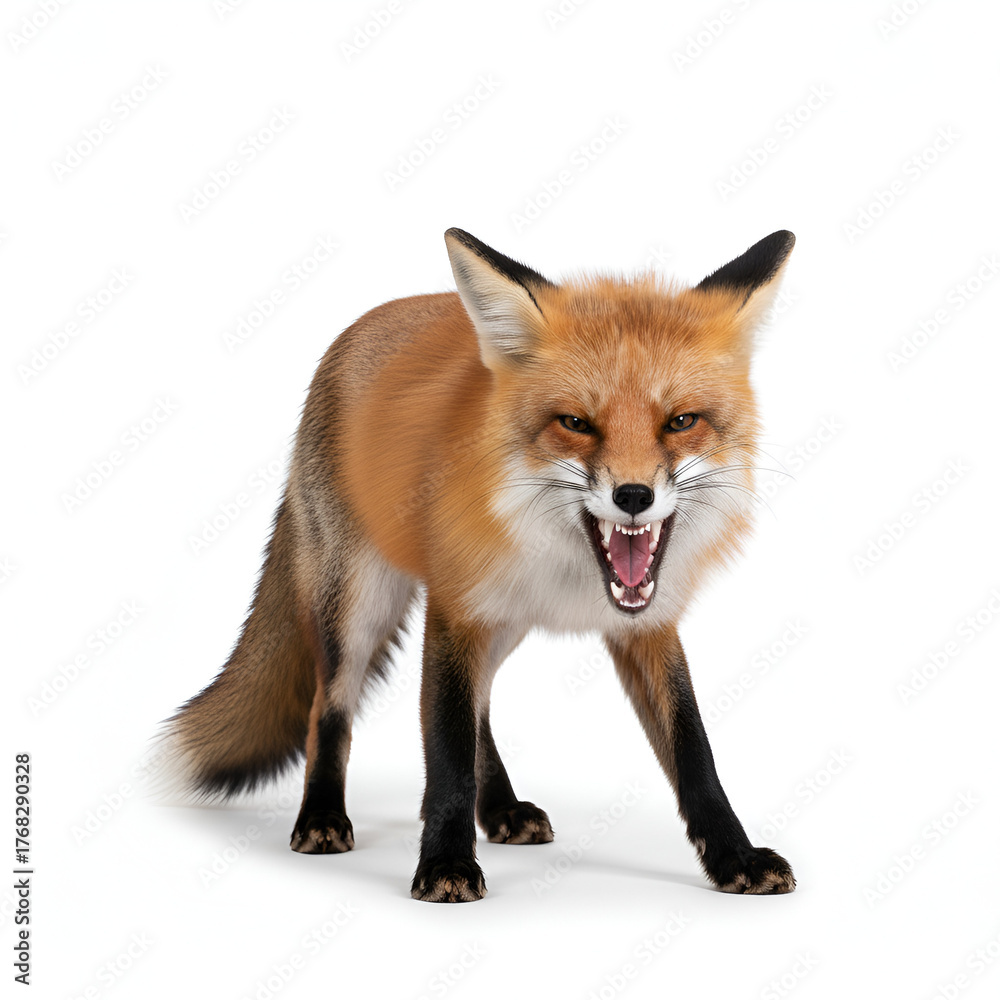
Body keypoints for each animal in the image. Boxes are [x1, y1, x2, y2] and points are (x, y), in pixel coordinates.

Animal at [163, 227, 798, 902]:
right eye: (576, 423)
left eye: (680, 421)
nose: (633, 496)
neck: (564, 565)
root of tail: (360, 327)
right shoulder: (454, 612)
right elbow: (446, 751)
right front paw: (445, 861)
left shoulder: (648, 624)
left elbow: (694, 752)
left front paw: (734, 855)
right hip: (361, 606)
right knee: (328, 706)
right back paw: (322, 815)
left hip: (500, 623)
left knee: (484, 711)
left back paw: (501, 809)